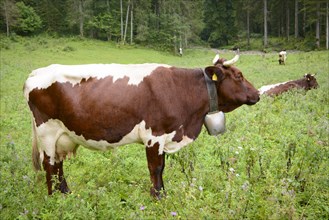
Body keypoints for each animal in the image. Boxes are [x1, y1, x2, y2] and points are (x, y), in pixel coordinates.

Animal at [23, 52, 258, 198]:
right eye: (238, 76)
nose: (256, 94)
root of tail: (36, 72)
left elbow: (161, 168)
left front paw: (161, 193)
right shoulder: (154, 135)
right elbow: (156, 168)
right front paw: (158, 197)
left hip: (61, 136)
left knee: (58, 165)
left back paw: (66, 193)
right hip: (47, 133)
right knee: (49, 165)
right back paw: (54, 198)